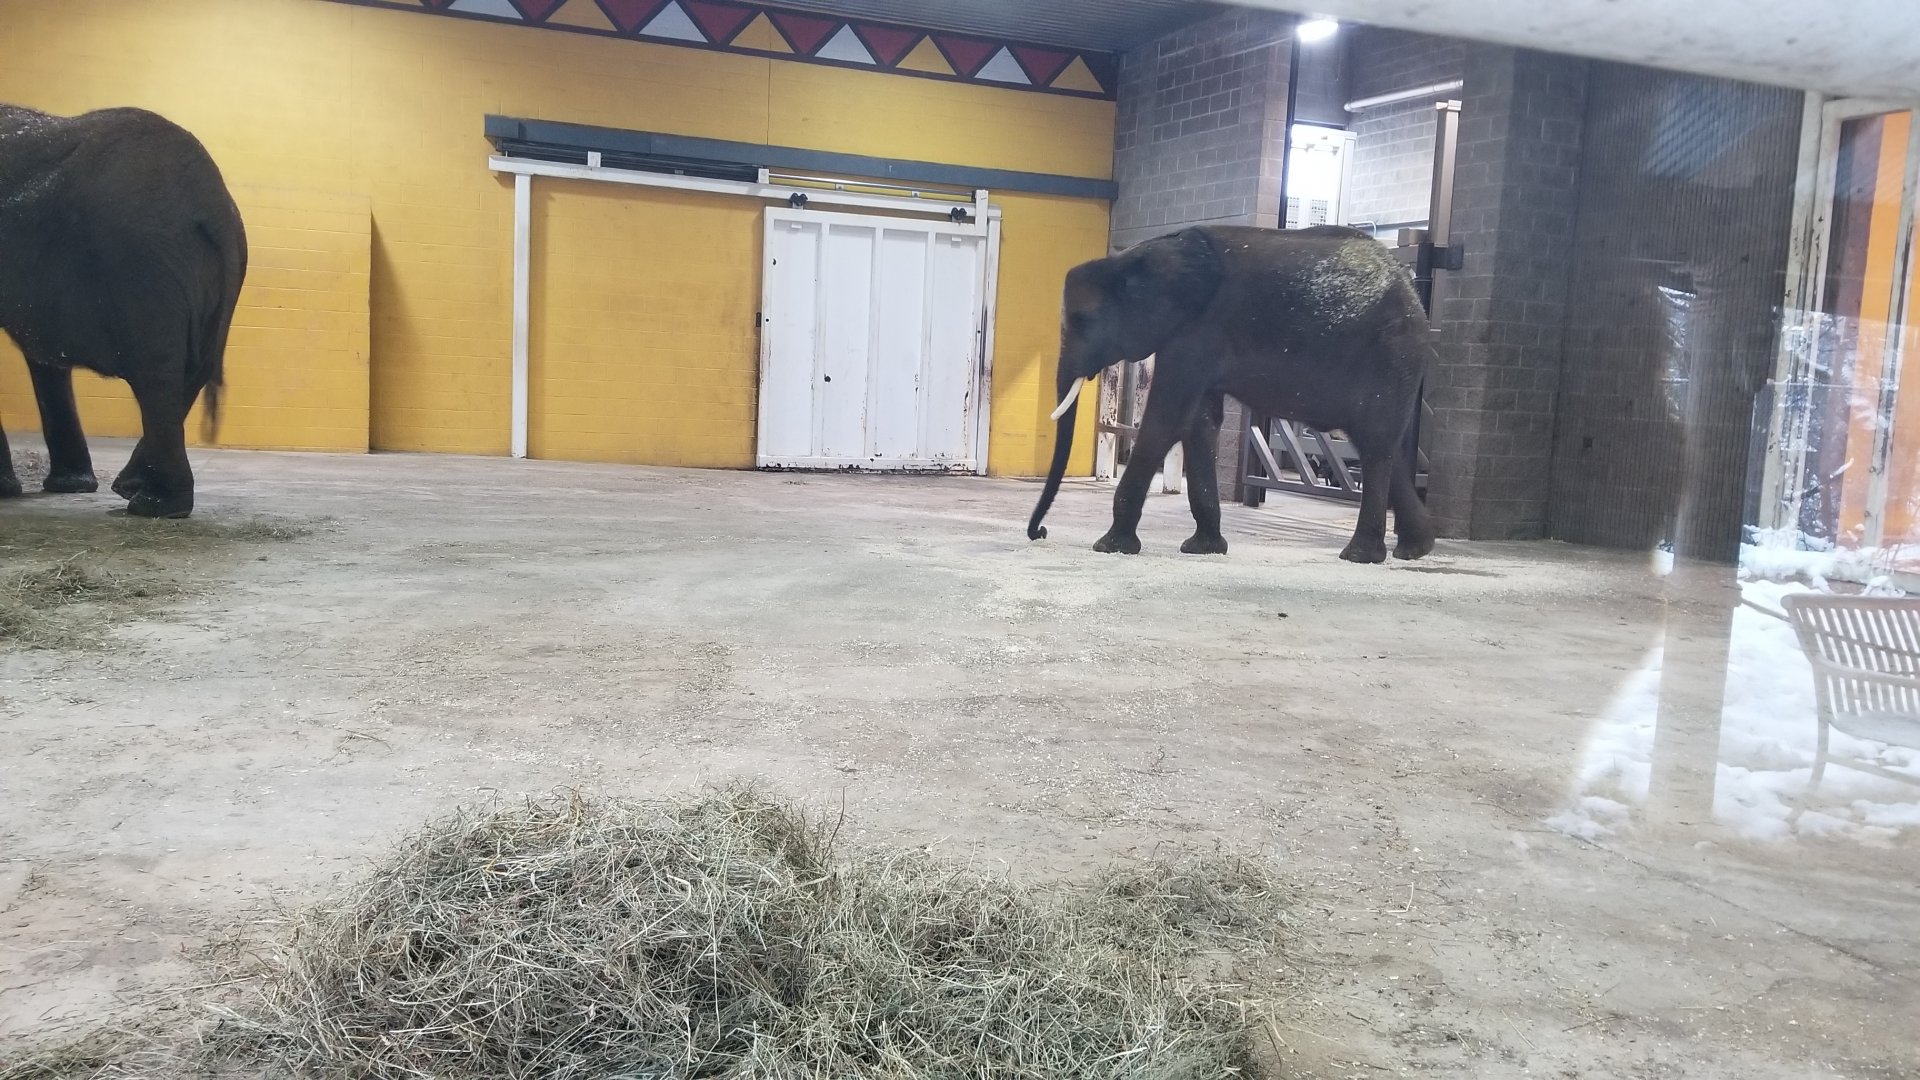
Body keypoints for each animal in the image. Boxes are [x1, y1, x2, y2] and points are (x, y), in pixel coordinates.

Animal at [0, 104, 247, 518]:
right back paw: (133, 490)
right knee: (190, 372)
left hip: (142, 266)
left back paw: (152, 505)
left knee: (157, 377)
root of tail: (212, 204)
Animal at [1026, 225, 1437, 563]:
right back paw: (1414, 550)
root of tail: (1409, 286)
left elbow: (1165, 420)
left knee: (1375, 442)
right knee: (1376, 443)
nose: (1040, 532)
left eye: (1082, 321)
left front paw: (1109, 547)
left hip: (1392, 351)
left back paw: (1360, 557)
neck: (1136, 258)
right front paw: (1202, 549)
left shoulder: (1198, 331)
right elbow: (1199, 423)